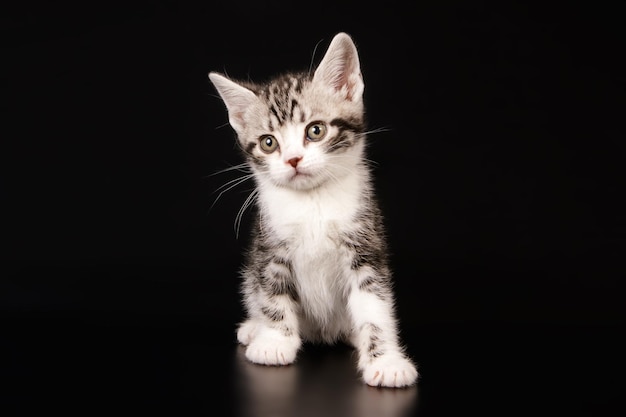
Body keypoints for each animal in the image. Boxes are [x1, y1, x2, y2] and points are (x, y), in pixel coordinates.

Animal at [207, 31, 416, 386]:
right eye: (268, 143)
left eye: (315, 130)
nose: (293, 160)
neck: (312, 202)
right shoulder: (269, 247)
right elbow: (273, 294)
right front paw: (275, 342)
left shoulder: (365, 243)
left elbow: (374, 306)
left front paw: (386, 361)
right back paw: (253, 328)